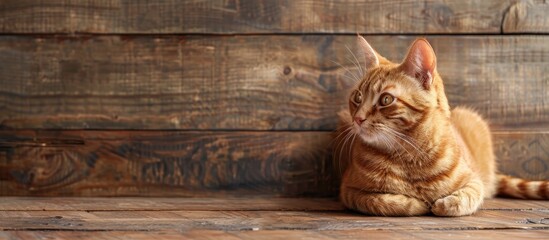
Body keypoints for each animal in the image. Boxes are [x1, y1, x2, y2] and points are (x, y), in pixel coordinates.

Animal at [336, 36, 544, 218]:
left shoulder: (474, 182)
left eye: (386, 99)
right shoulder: (349, 190)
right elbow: (382, 201)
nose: (358, 119)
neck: (410, 155)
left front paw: (444, 203)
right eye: (358, 97)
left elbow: (466, 198)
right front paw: (417, 203)